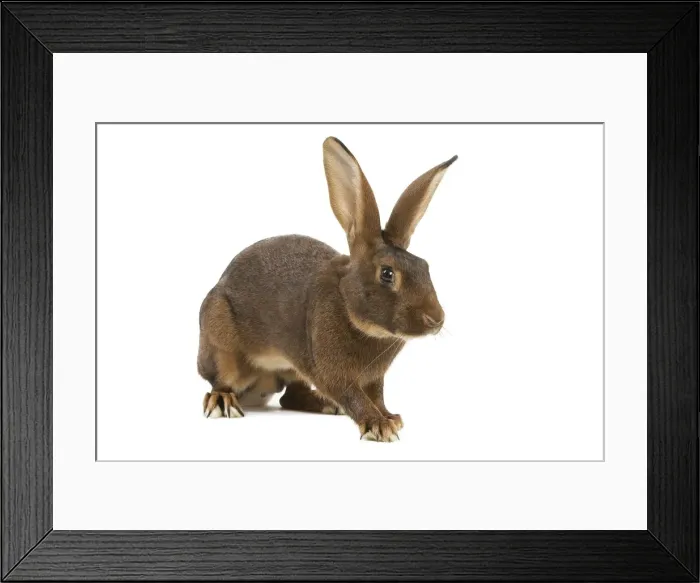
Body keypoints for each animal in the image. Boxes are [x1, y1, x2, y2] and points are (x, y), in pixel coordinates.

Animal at [198, 137, 457, 441]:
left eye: (425, 266)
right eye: (387, 273)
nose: (436, 320)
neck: (349, 307)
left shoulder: (373, 378)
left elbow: (377, 396)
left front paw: (390, 417)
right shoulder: (333, 372)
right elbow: (353, 395)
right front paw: (379, 425)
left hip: (292, 369)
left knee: (290, 396)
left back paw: (324, 405)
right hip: (221, 342)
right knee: (221, 380)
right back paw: (224, 402)